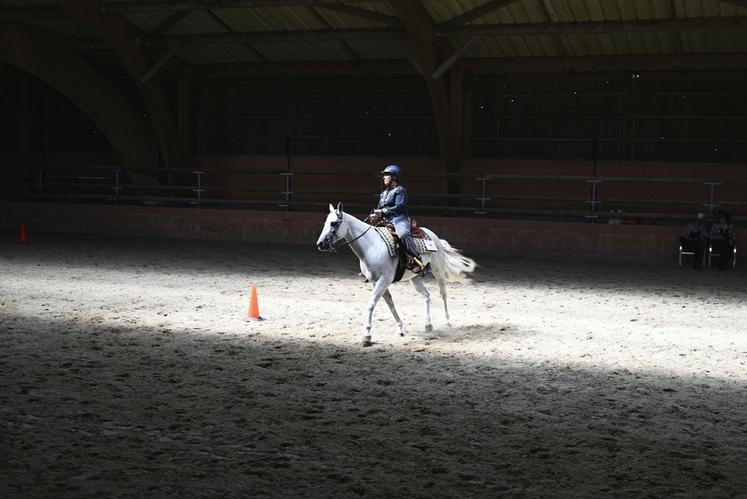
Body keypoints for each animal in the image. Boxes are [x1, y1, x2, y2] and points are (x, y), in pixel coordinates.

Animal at [318, 201, 480, 346]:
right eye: (325, 222)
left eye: (333, 223)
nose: (320, 244)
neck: (371, 245)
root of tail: (434, 236)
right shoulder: (376, 282)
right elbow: (390, 304)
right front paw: (400, 328)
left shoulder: (383, 280)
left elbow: (371, 304)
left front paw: (366, 335)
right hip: (415, 278)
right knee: (426, 295)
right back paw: (428, 324)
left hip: (438, 270)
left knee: (443, 293)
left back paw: (447, 321)